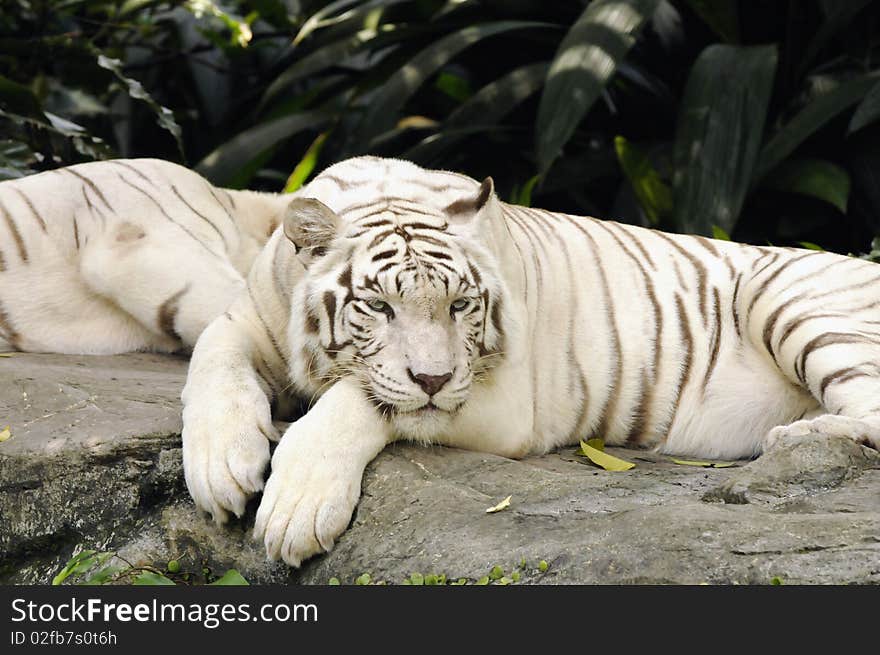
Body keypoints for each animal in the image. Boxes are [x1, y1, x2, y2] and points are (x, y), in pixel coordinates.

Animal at [182, 155, 880, 568]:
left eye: (461, 304)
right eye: (378, 306)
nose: (433, 377)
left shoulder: (501, 399)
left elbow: (360, 399)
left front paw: (294, 510)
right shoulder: (244, 319)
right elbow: (211, 364)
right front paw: (221, 470)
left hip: (789, 300)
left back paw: (798, 435)